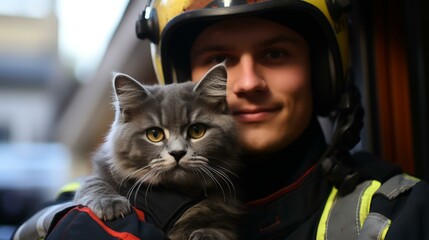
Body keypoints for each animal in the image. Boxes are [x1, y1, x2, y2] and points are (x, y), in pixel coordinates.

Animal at [73, 62, 241, 239]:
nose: (177, 153)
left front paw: (206, 233)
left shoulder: (222, 210)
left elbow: (222, 227)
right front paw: (110, 204)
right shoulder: (102, 170)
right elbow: (93, 182)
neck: (176, 191)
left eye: (197, 131)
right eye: (155, 134)